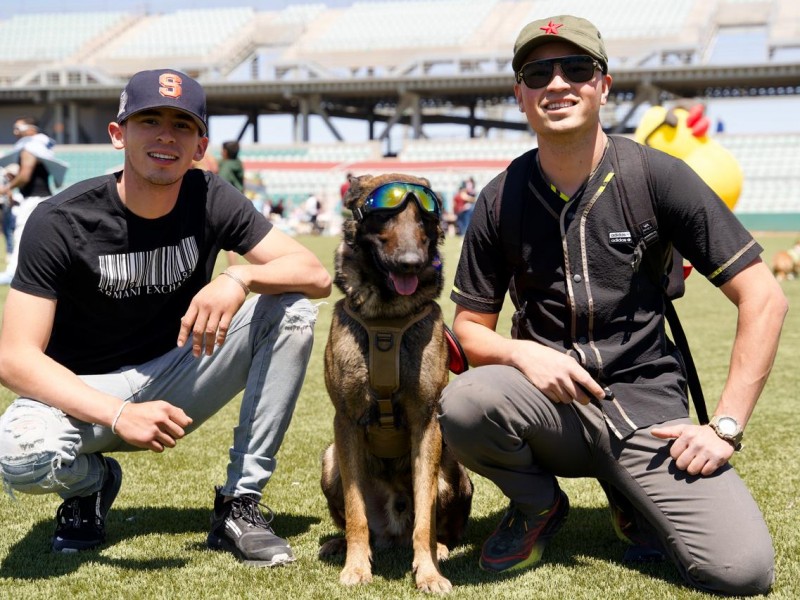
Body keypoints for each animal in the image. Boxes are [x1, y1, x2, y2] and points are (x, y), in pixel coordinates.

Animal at [318, 172, 472, 592]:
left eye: (424, 219)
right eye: (384, 215)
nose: (411, 263)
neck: (387, 316)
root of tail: (392, 532)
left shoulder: (427, 424)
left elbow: (426, 520)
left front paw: (429, 572)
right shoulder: (346, 423)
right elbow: (356, 512)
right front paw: (356, 567)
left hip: (453, 470)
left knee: (436, 524)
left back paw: (442, 549)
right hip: (331, 459)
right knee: (357, 520)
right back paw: (340, 545)